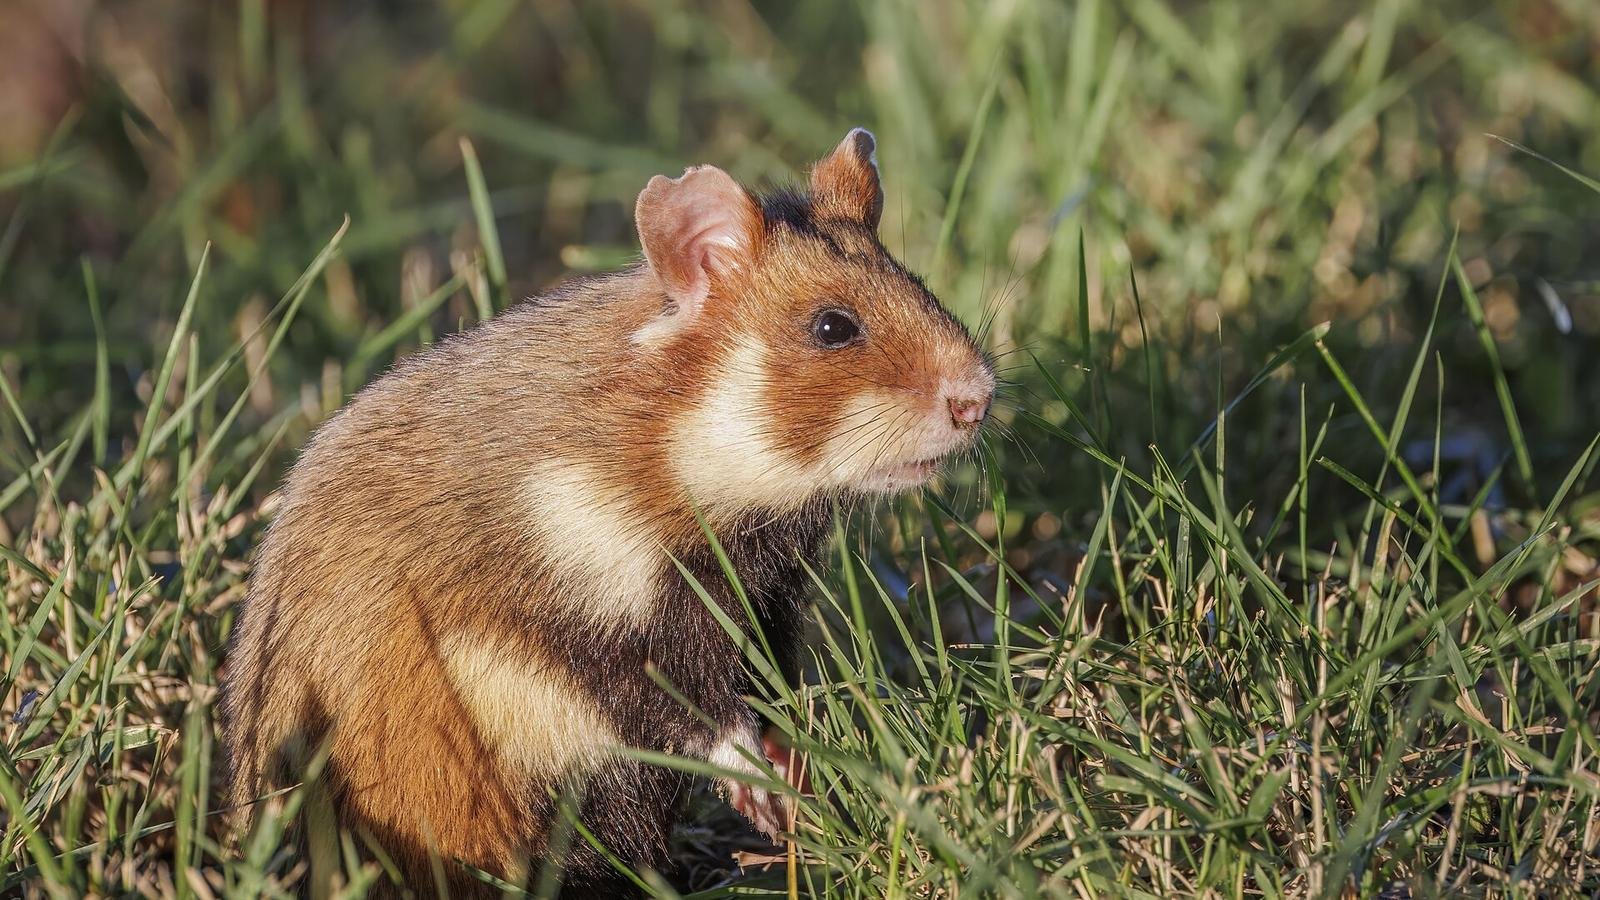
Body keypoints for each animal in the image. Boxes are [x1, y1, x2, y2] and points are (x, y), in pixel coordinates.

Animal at [220, 128, 995, 898]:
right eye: (833, 326)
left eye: (919, 285)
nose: (979, 399)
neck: (678, 449)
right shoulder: (596, 626)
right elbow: (699, 713)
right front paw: (767, 797)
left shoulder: (765, 600)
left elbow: (767, 695)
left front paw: (804, 783)